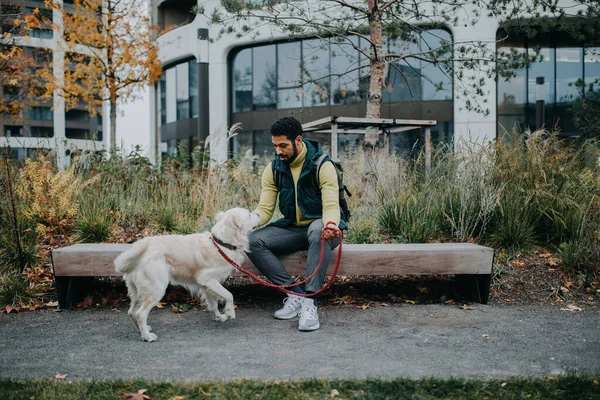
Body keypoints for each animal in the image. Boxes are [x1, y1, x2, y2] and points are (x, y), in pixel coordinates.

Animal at [113, 208, 258, 342]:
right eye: (249, 214)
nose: (258, 213)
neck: (221, 244)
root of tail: (143, 249)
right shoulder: (208, 279)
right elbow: (229, 295)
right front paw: (229, 312)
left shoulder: (206, 285)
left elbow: (213, 303)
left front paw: (218, 316)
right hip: (156, 289)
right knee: (140, 314)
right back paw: (147, 336)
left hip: (136, 291)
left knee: (131, 312)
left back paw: (143, 330)